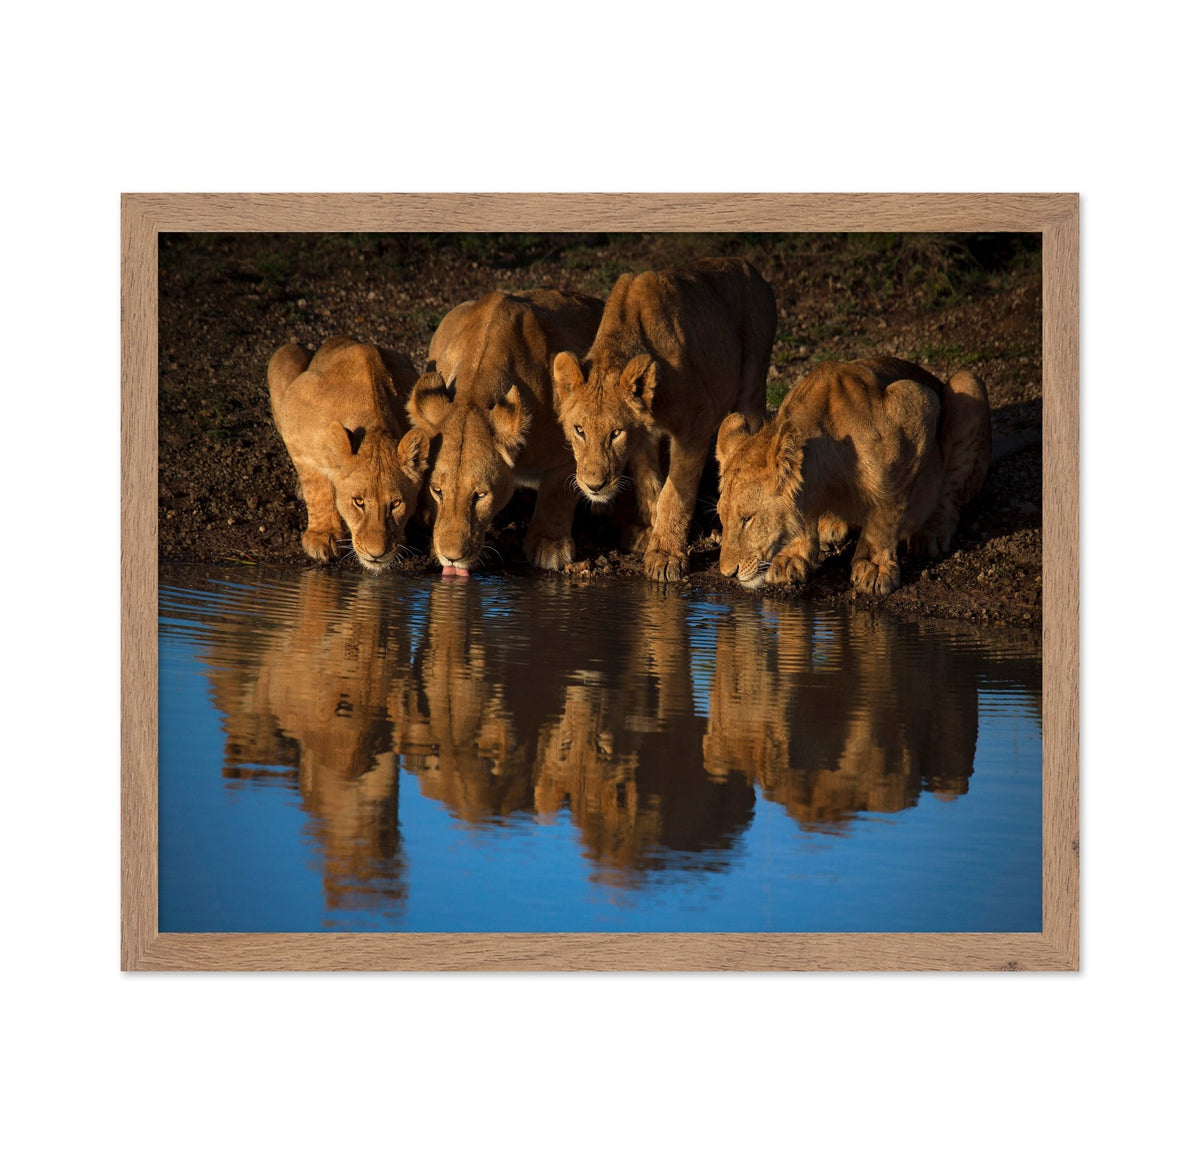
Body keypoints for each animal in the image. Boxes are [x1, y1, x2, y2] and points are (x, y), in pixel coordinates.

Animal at [268, 335, 431, 572]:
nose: (376, 554)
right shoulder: (294, 418)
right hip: (284, 355)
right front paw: (322, 535)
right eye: (358, 502)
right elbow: (317, 486)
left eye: (396, 504)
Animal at [407, 289, 604, 574]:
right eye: (437, 491)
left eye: (480, 496)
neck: (474, 393)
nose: (451, 557)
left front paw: (550, 545)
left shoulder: (571, 449)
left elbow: (557, 494)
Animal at [551, 257, 776, 581]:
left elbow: (675, 490)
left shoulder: (697, 418)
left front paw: (666, 555)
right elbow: (650, 484)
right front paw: (650, 532)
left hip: (753, 384)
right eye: (579, 430)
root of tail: (750, 266)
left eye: (615, 433)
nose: (595, 486)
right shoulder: (644, 435)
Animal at [715, 356, 991, 597]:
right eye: (722, 517)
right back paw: (832, 526)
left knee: (950, 494)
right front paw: (794, 556)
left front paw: (874, 566)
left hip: (968, 385)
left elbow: (887, 511)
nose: (728, 573)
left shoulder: (917, 405)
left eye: (747, 519)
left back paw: (930, 532)